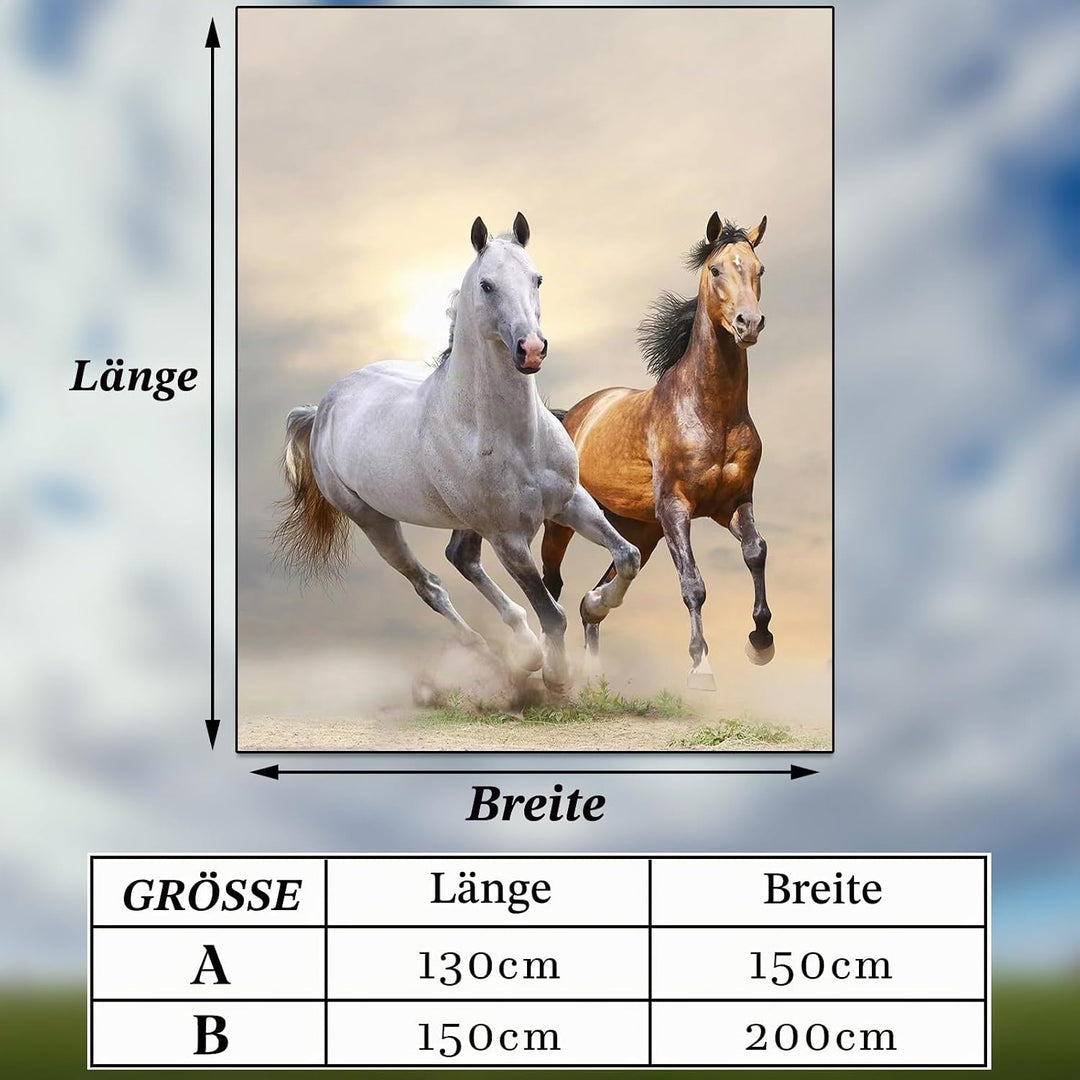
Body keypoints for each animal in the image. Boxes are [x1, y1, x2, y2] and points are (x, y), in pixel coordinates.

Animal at [273, 213, 641, 695]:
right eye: (486, 285)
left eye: (537, 278)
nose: (531, 349)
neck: (515, 438)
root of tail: (323, 409)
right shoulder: (509, 538)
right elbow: (552, 612)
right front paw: (557, 677)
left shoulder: (570, 502)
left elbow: (628, 556)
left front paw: (596, 604)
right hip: (376, 523)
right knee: (430, 585)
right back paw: (501, 656)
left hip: (465, 520)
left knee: (460, 558)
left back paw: (523, 648)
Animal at [540, 212, 773, 691]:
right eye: (716, 269)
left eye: (760, 270)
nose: (749, 324)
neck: (712, 412)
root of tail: (573, 415)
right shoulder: (676, 509)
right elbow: (693, 584)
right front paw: (701, 667)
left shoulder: (733, 503)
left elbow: (756, 551)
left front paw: (761, 641)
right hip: (564, 524)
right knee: (551, 585)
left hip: (640, 530)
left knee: (596, 594)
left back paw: (594, 651)